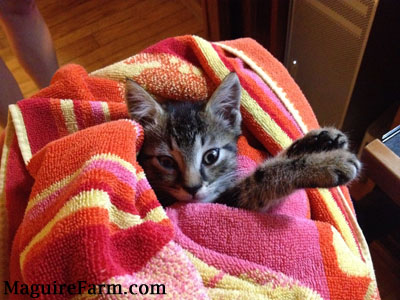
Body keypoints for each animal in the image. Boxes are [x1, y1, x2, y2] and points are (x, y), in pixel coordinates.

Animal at [124, 73, 360, 211]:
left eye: (211, 156)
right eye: (166, 162)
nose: (193, 188)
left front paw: (320, 140)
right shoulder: (225, 202)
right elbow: (261, 178)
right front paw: (326, 164)